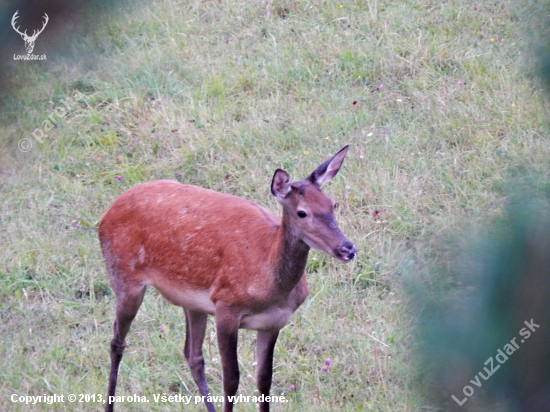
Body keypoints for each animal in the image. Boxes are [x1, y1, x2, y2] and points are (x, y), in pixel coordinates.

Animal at [99, 146, 358, 410]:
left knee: (193, 355)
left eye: (332, 204)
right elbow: (231, 379)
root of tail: (109, 211)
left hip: (192, 303)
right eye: (302, 212)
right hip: (125, 277)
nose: (347, 249)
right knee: (117, 341)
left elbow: (264, 380)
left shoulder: (273, 322)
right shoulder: (226, 306)